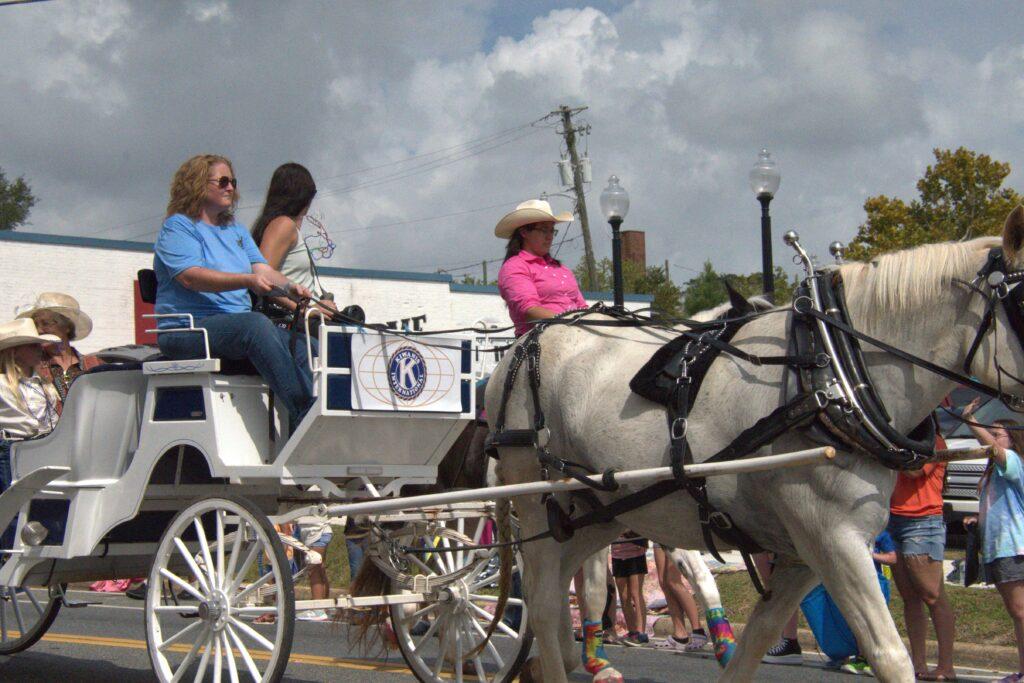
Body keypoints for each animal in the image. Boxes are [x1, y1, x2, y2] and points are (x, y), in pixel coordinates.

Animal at [485, 208, 1024, 683]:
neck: (829, 371)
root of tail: (520, 348)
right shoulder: (833, 538)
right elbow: (889, 655)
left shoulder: (802, 551)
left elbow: (756, 642)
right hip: (536, 497)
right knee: (543, 599)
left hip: (599, 511)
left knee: (565, 586)